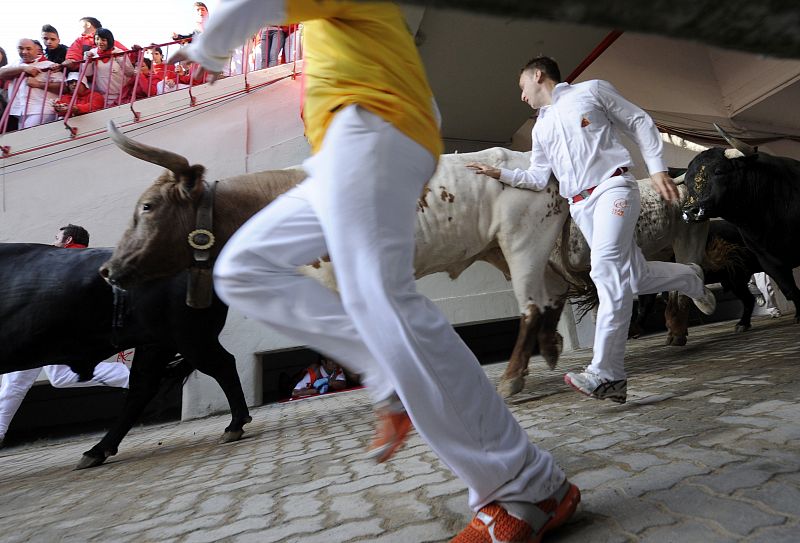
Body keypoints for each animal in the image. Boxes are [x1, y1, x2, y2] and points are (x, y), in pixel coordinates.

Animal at [0, 244, 250, 470]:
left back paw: (234, 426)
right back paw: (97, 451)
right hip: (158, 343)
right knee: (142, 387)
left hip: (190, 338)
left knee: (223, 366)